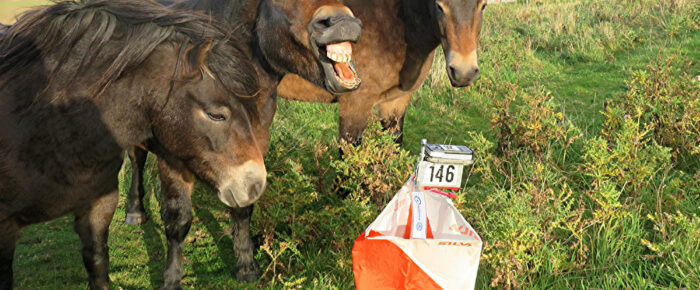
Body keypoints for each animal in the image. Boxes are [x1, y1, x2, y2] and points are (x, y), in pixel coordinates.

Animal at [120, 0, 360, 284]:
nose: (343, 22)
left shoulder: (254, 147)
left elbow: (245, 206)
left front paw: (246, 265)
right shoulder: (173, 158)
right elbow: (178, 219)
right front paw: (171, 278)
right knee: (136, 158)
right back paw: (135, 211)